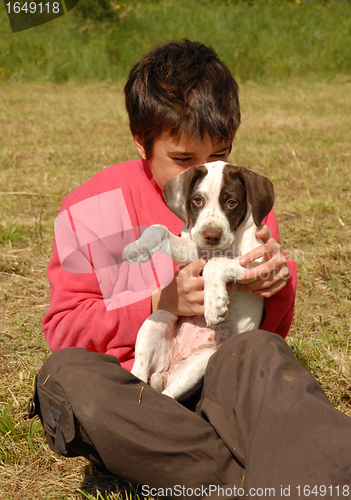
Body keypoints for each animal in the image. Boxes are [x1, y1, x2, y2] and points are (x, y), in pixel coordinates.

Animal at [123, 162, 276, 400]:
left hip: (201, 361)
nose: (211, 236)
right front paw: (138, 247)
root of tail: (168, 369)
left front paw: (214, 305)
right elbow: (158, 227)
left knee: (168, 397)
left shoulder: (260, 265)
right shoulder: (191, 250)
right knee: (139, 372)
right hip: (157, 319)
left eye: (231, 203)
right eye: (197, 200)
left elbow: (216, 263)